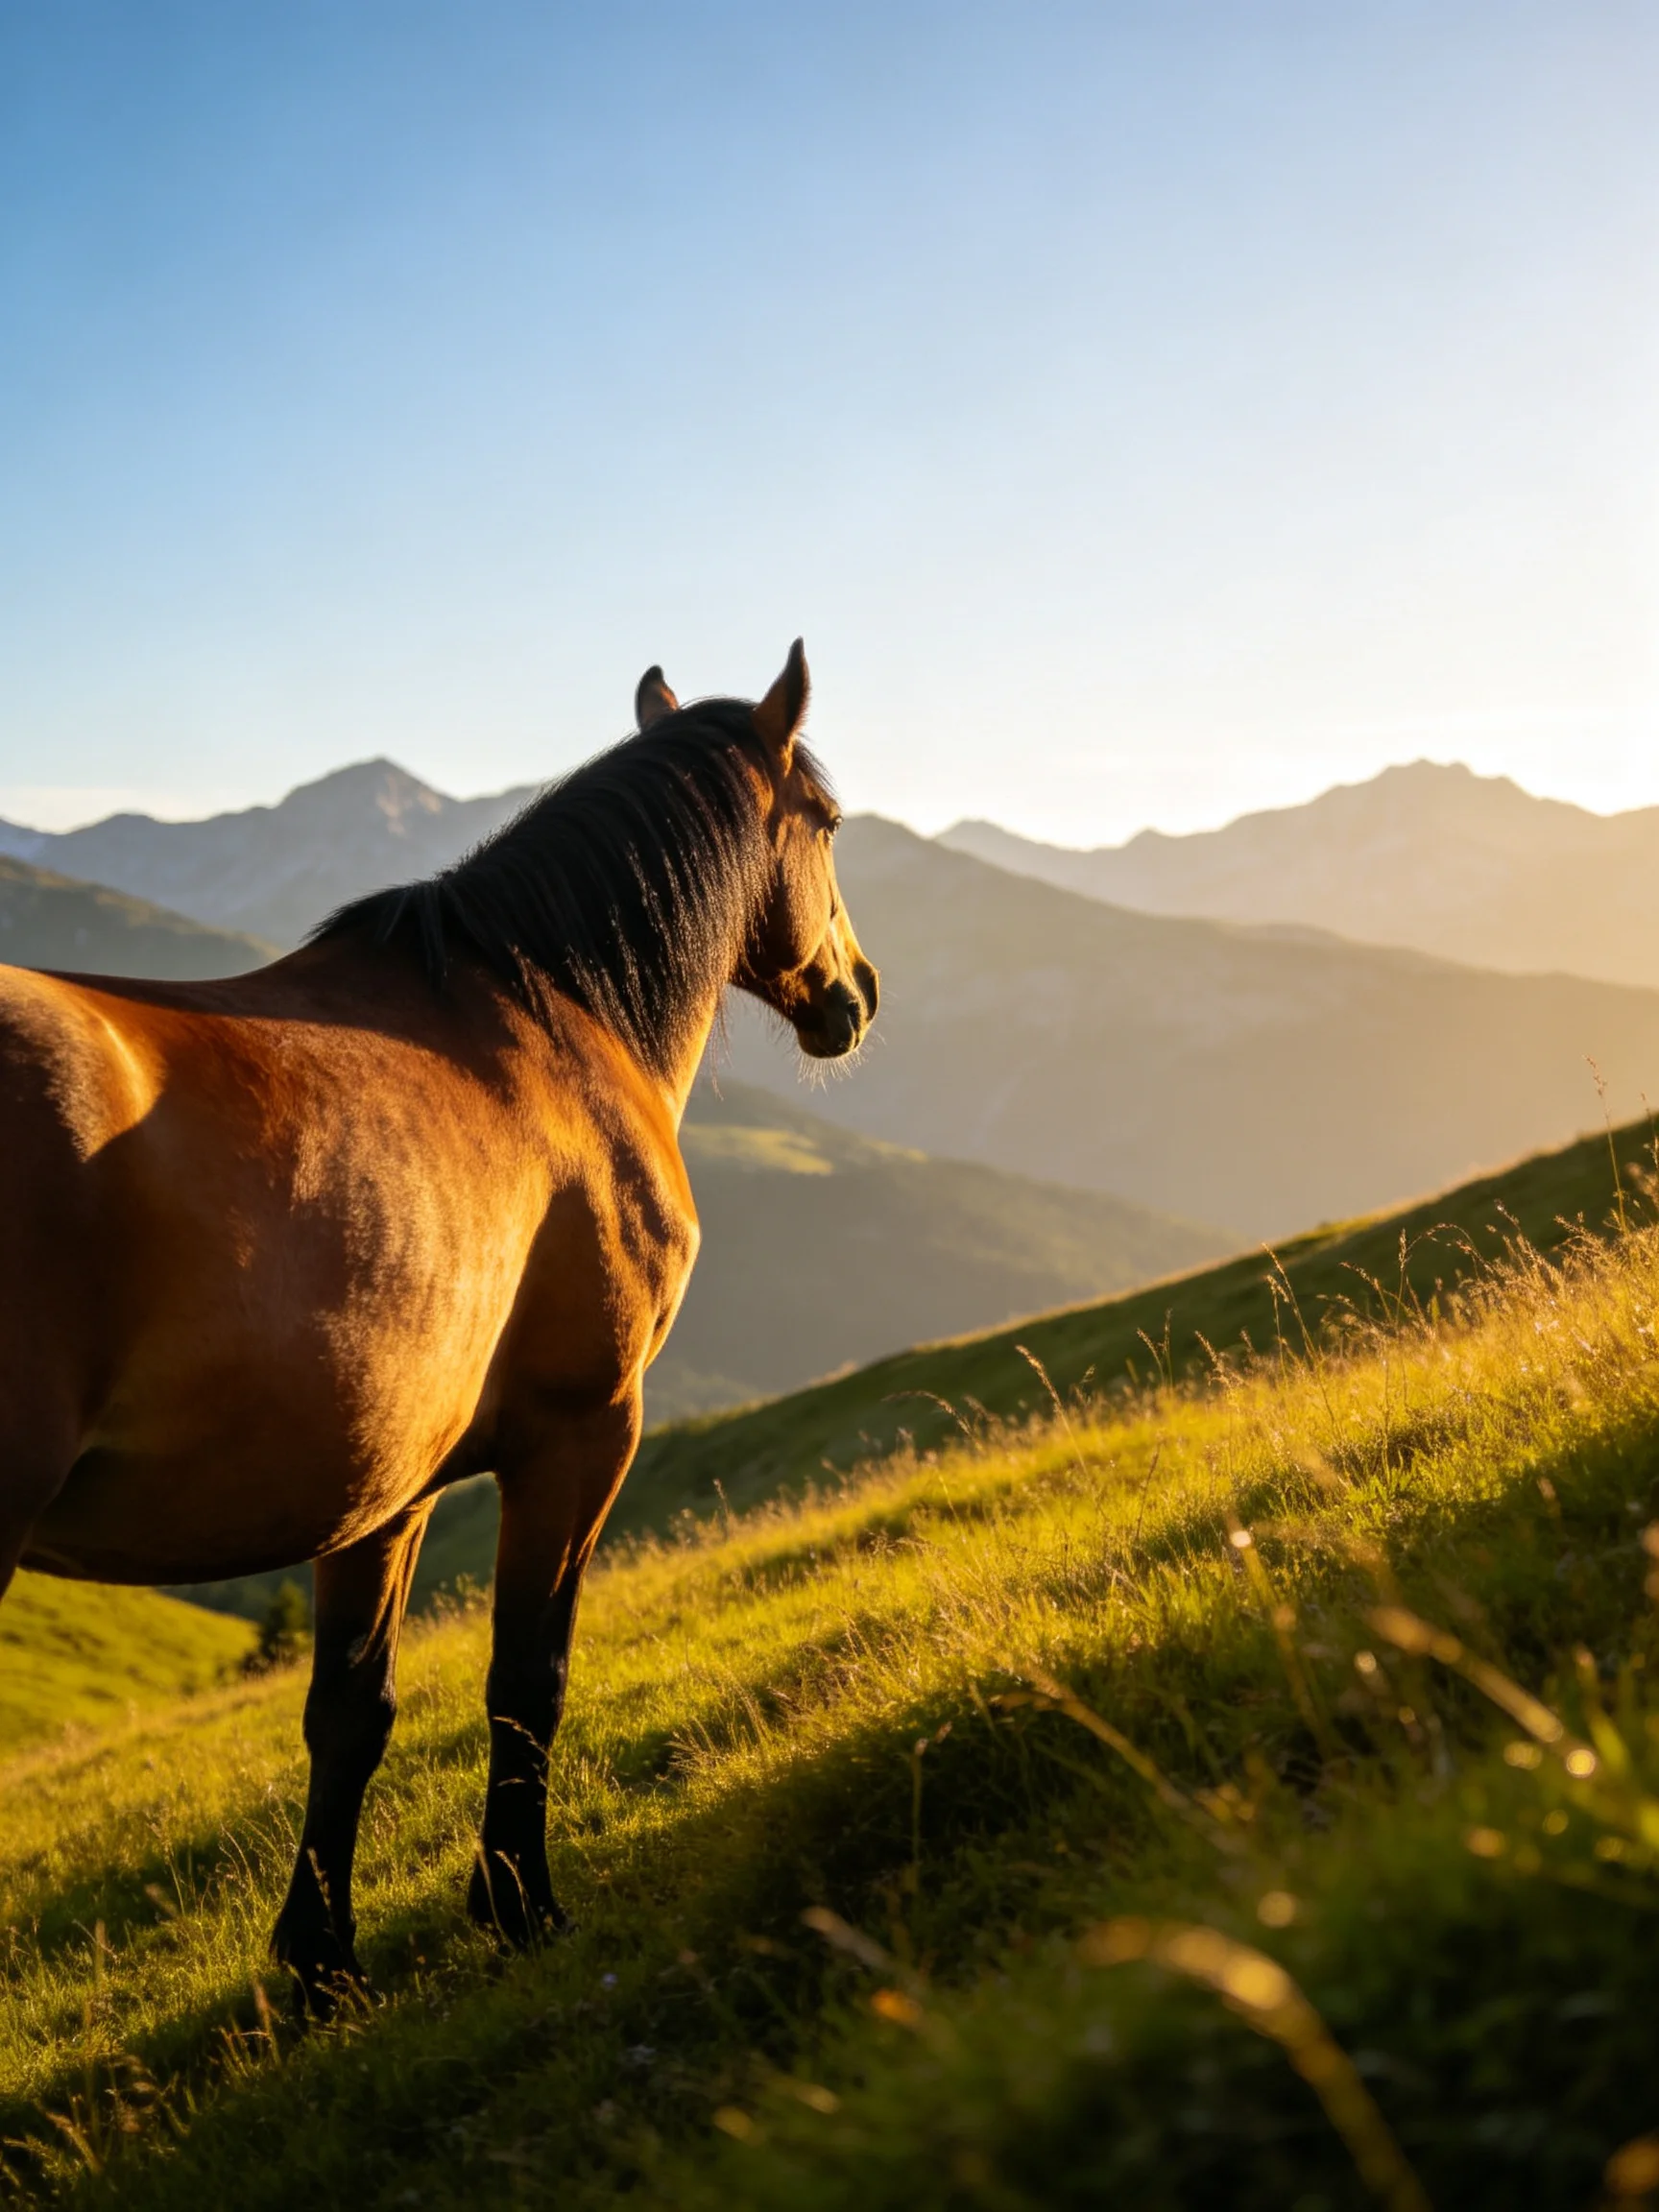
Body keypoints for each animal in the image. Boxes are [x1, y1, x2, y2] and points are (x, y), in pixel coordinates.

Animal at [0, 641, 877, 2009]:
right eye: (830, 822)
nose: (858, 993)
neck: (552, 1015)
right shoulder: (583, 1436)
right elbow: (529, 1678)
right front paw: (520, 1905)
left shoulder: (382, 1490)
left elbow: (350, 1716)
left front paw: (321, 1966)